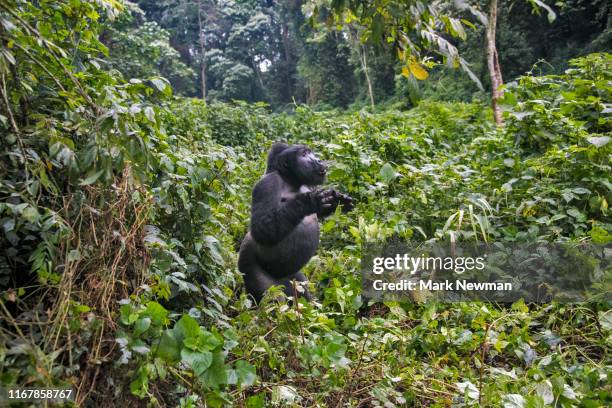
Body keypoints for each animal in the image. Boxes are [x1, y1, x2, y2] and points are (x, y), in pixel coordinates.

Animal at [239, 142, 354, 302]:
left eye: (310, 152)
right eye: (304, 154)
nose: (318, 160)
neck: (290, 180)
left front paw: (336, 201)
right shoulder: (267, 184)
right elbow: (261, 228)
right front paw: (309, 202)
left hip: (294, 279)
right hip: (248, 268)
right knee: (273, 301)